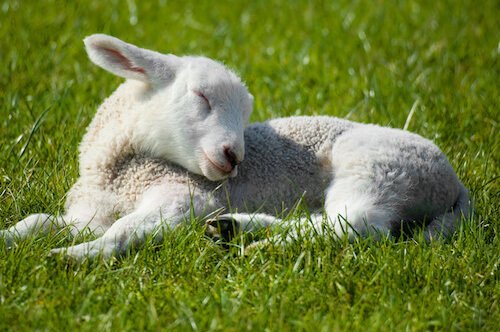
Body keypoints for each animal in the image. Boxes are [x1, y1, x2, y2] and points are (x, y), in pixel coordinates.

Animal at [0, 34, 470, 262]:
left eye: (246, 115)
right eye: (201, 97)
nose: (234, 156)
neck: (119, 174)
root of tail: (454, 183)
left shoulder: (184, 198)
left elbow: (123, 231)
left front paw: (73, 257)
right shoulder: (89, 213)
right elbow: (37, 221)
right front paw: (11, 239)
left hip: (379, 169)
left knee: (355, 225)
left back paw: (260, 245)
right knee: (330, 221)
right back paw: (235, 228)